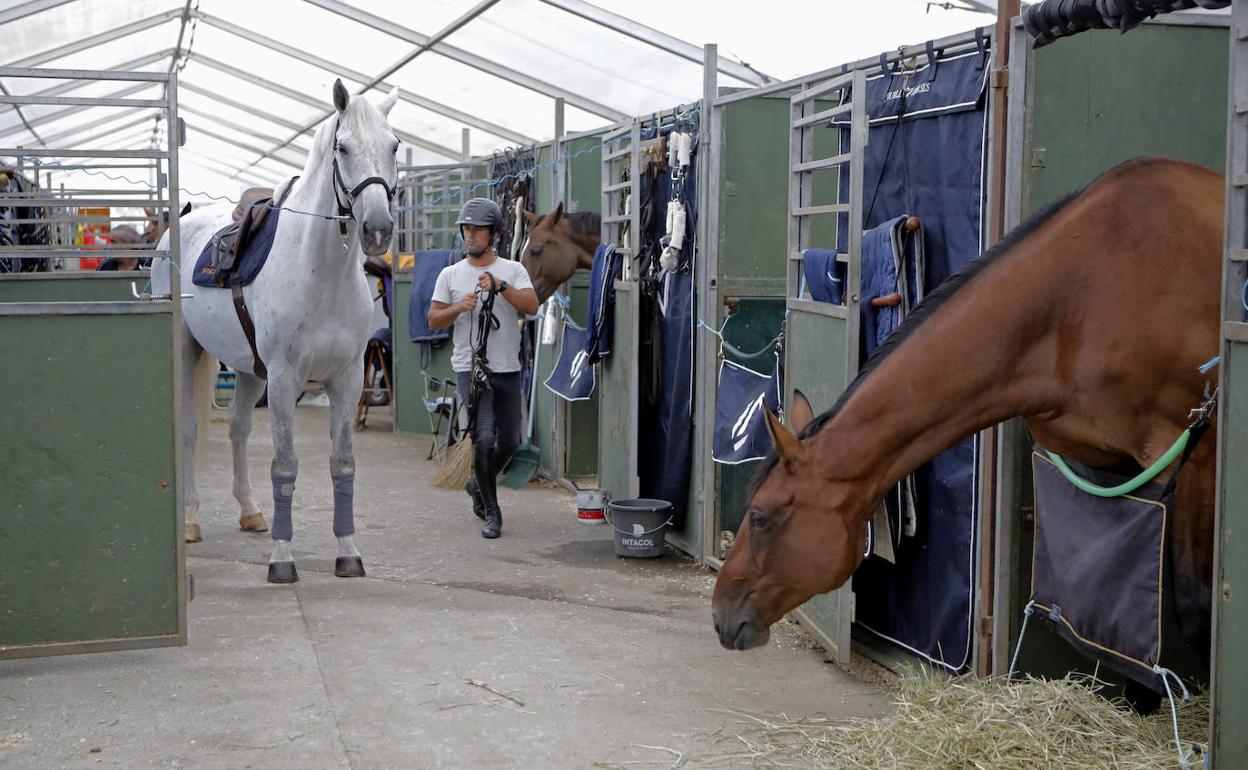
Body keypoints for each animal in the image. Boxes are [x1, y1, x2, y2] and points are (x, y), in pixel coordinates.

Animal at [154, 77, 399, 581]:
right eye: (342, 147)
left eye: (394, 145)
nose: (378, 229)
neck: (320, 273)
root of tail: (178, 224)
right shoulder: (286, 380)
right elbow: (285, 467)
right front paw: (282, 559)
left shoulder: (346, 379)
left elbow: (342, 464)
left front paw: (348, 551)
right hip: (188, 353)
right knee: (189, 431)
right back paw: (191, 520)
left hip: (249, 370)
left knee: (238, 428)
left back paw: (250, 512)